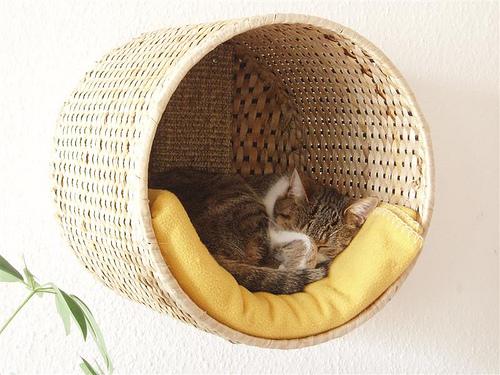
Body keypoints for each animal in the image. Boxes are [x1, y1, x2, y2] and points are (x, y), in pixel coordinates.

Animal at [150, 169, 376, 296]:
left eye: (326, 246)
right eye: (293, 226)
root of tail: (205, 247)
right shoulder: (273, 229)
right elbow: (303, 241)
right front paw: (299, 262)